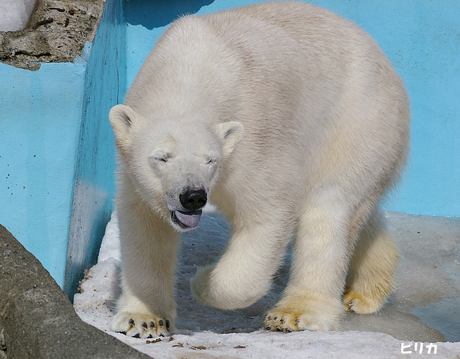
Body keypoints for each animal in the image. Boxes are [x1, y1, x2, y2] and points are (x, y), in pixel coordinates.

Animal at [108, 1, 410, 338]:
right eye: (161, 158)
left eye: (210, 159)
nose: (193, 196)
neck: (189, 74)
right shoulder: (136, 174)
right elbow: (144, 225)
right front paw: (144, 319)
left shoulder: (256, 141)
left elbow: (266, 214)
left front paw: (202, 280)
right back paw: (366, 292)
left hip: (357, 122)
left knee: (329, 209)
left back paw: (295, 313)